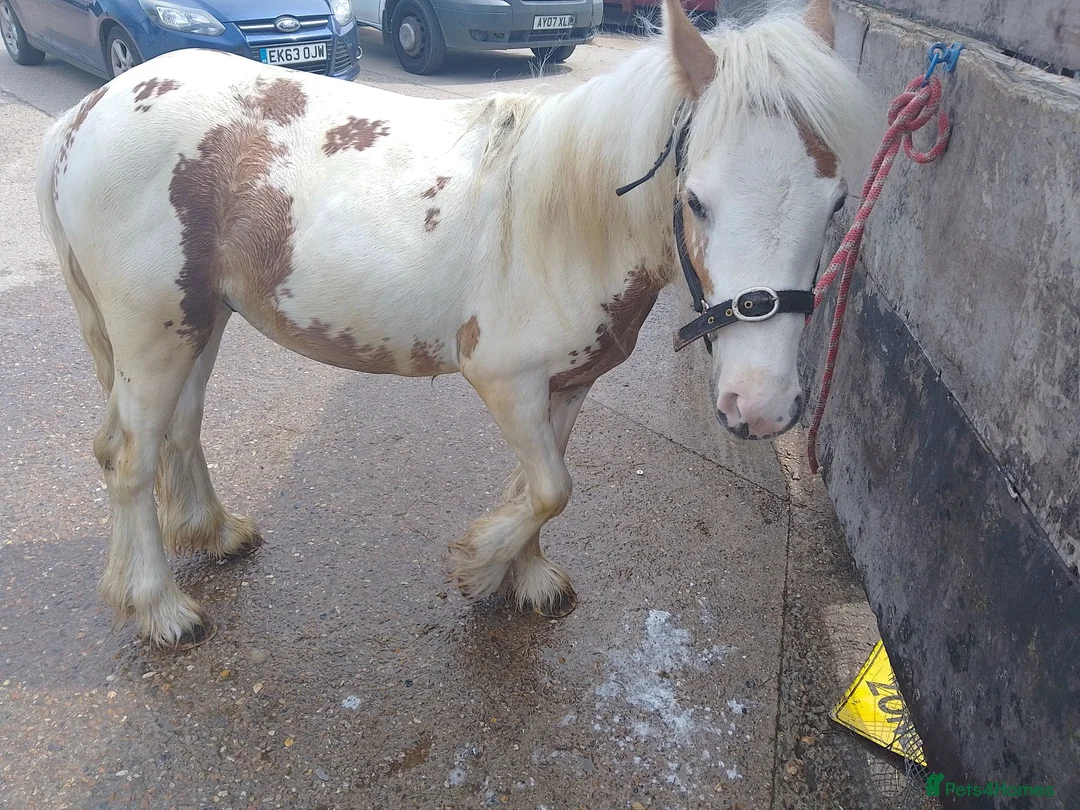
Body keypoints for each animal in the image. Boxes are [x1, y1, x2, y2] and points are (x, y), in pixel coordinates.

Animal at [36, 0, 873, 647]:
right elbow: (551, 486)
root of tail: (86, 113)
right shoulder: (505, 380)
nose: (760, 405)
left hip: (197, 322)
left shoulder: (567, 385)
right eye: (696, 199)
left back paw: (214, 533)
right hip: (154, 332)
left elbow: (541, 482)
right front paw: (480, 564)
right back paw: (161, 608)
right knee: (129, 460)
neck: (569, 221)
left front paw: (525, 576)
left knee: (176, 430)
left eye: (836, 202)